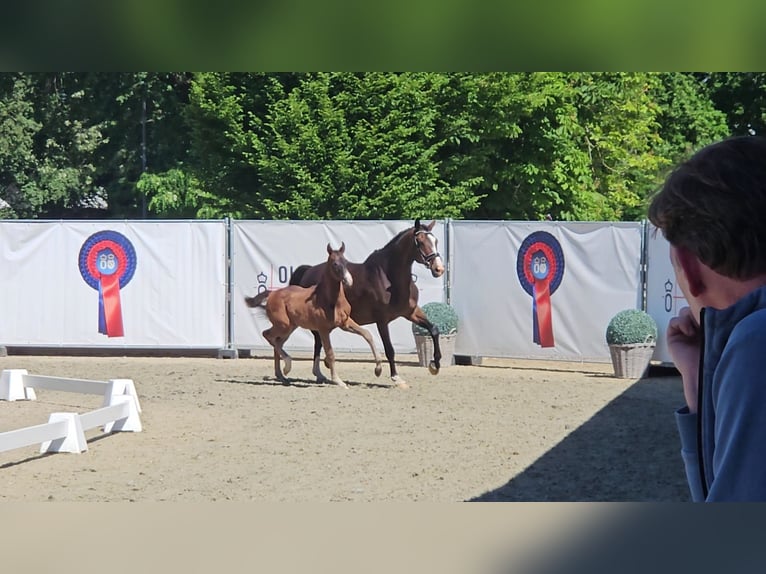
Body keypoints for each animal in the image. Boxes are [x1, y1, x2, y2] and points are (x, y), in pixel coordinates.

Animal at [245, 242, 383, 388]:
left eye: (345, 262)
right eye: (335, 263)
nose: (348, 280)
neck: (330, 300)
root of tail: (272, 293)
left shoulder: (345, 323)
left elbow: (367, 334)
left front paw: (378, 369)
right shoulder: (323, 330)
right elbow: (330, 353)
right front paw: (338, 381)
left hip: (289, 328)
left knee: (277, 342)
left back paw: (282, 375)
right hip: (283, 325)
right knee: (268, 335)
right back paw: (287, 365)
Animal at [289, 219, 445, 388]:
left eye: (435, 241)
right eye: (420, 242)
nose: (439, 269)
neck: (389, 278)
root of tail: (308, 271)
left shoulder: (411, 312)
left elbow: (434, 329)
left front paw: (435, 364)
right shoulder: (382, 320)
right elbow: (390, 349)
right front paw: (396, 378)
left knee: (318, 342)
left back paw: (320, 372)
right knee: (318, 341)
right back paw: (319, 372)